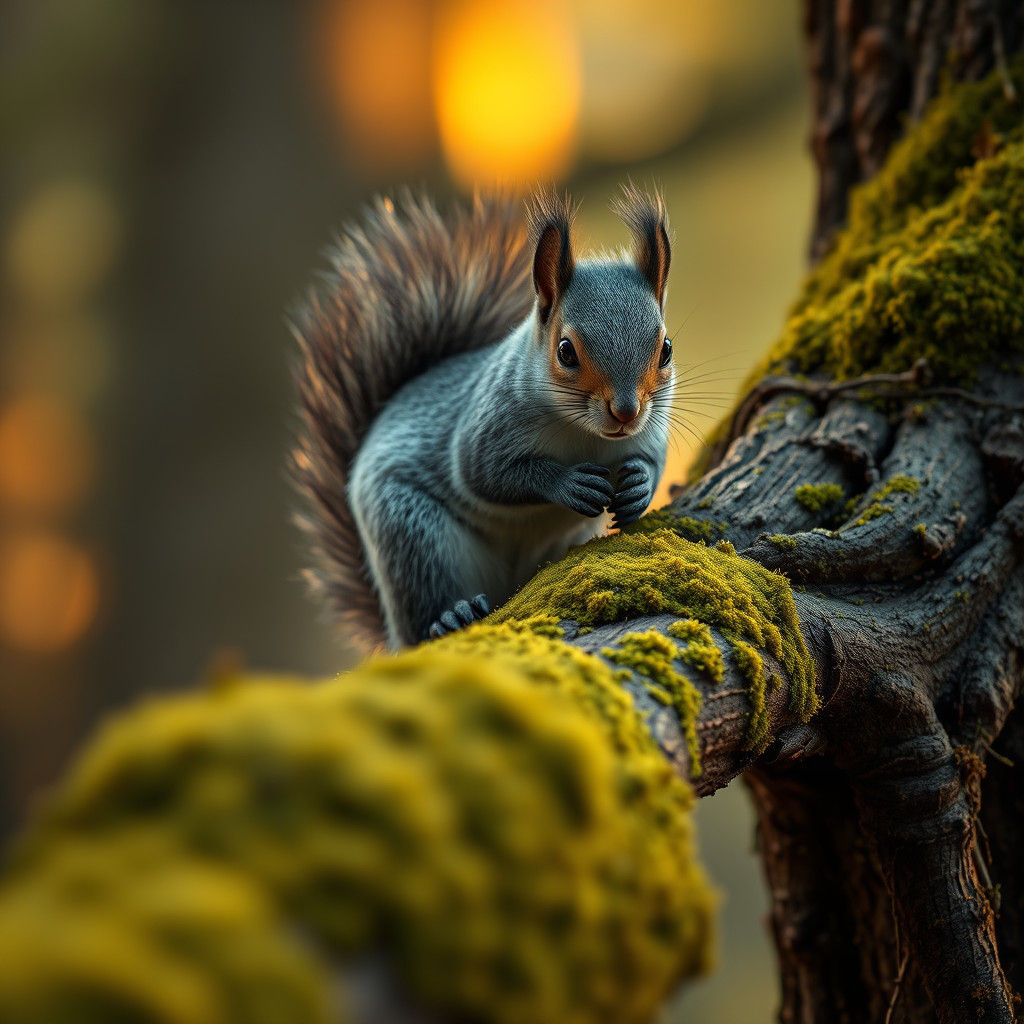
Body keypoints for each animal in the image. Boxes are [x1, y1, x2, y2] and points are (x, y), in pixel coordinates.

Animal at [292, 185, 674, 650]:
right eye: (566, 352)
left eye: (666, 349)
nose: (626, 412)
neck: (587, 434)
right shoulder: (489, 423)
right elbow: (486, 474)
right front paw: (566, 482)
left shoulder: (651, 427)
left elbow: (654, 462)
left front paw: (640, 486)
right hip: (413, 533)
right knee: (425, 603)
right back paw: (449, 616)